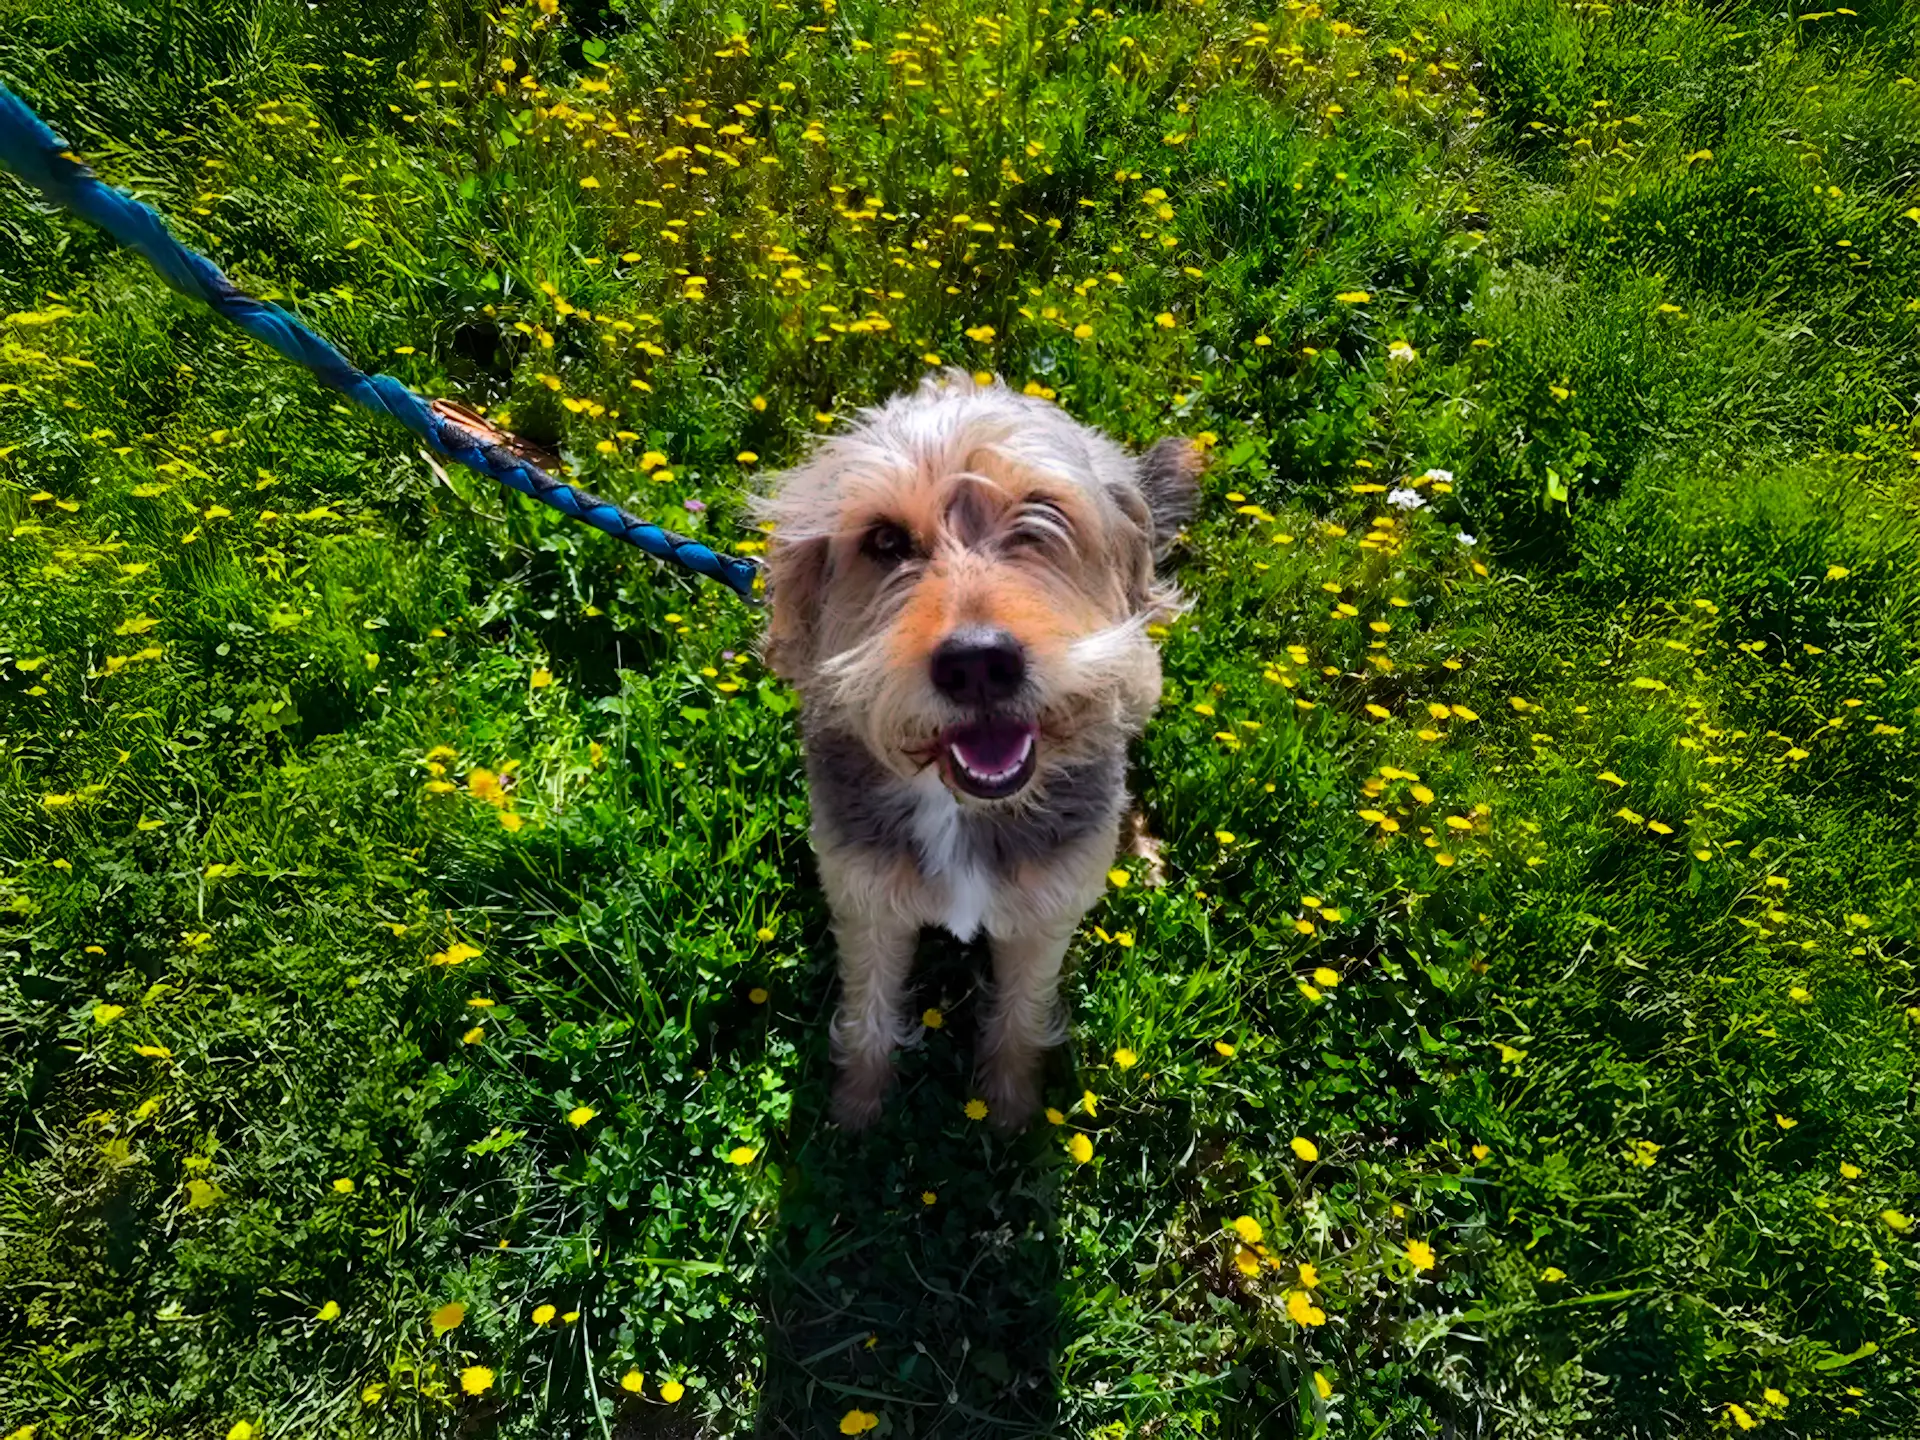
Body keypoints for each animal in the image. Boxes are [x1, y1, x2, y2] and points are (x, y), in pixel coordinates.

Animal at [752, 368, 1190, 1128]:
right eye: (884, 540)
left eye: (1040, 517)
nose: (978, 663)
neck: (962, 807)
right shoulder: (867, 902)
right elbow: (869, 1008)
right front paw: (857, 1112)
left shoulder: (1045, 915)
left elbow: (1022, 1012)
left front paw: (1011, 1111)